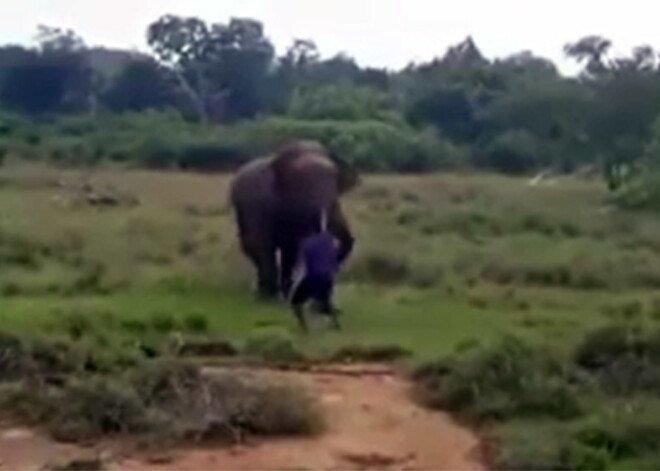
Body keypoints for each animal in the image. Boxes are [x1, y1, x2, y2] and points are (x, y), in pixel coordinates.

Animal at [229, 142, 358, 300]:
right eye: (302, 176)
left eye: (334, 176)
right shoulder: (259, 200)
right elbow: (263, 242)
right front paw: (270, 297)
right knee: (252, 245)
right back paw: (265, 292)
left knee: (287, 249)